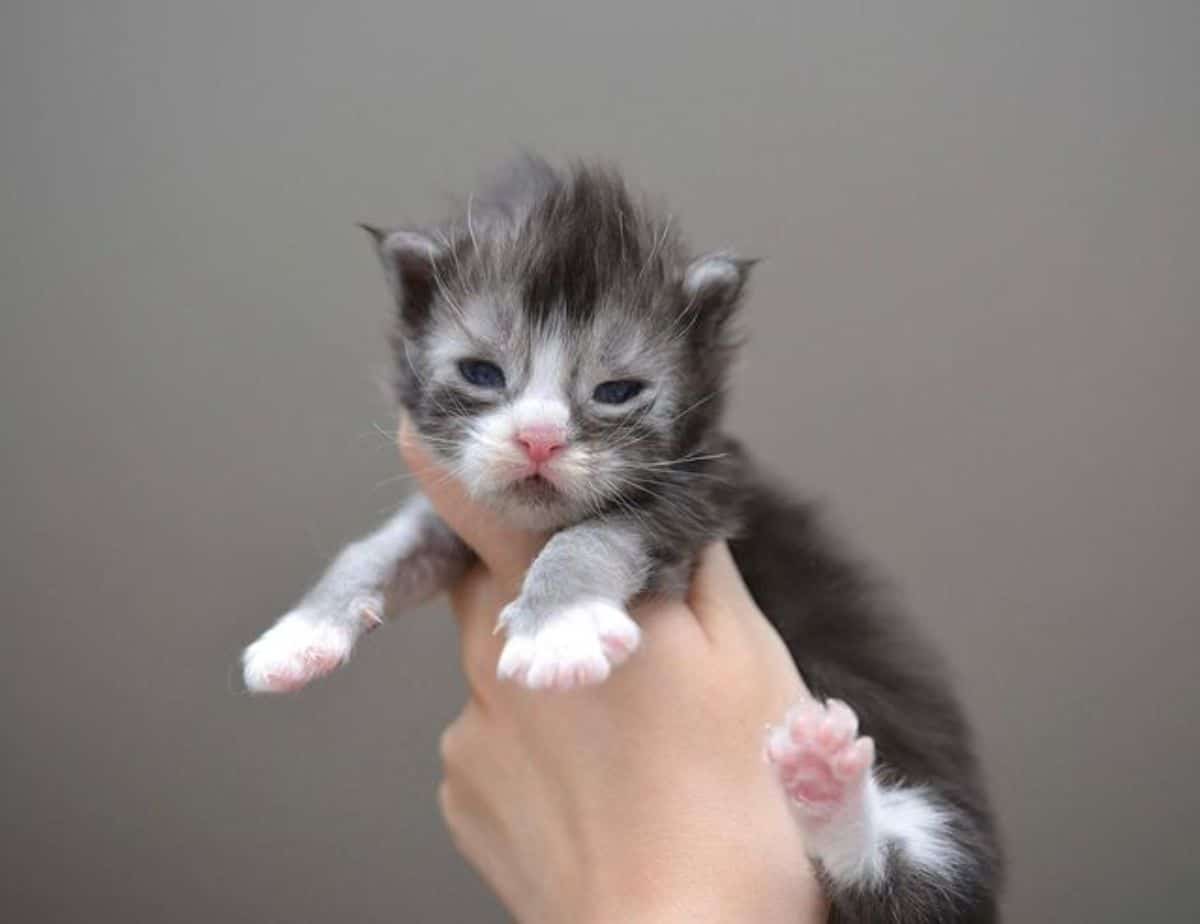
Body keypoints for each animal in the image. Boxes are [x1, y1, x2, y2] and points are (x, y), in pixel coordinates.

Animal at [241, 158, 1003, 921]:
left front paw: (559, 628)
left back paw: (828, 782)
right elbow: (383, 546)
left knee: (912, 884)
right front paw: (302, 632)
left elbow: (596, 533)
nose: (539, 438)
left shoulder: (702, 497)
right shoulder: (462, 510)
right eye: (482, 373)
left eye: (616, 391)